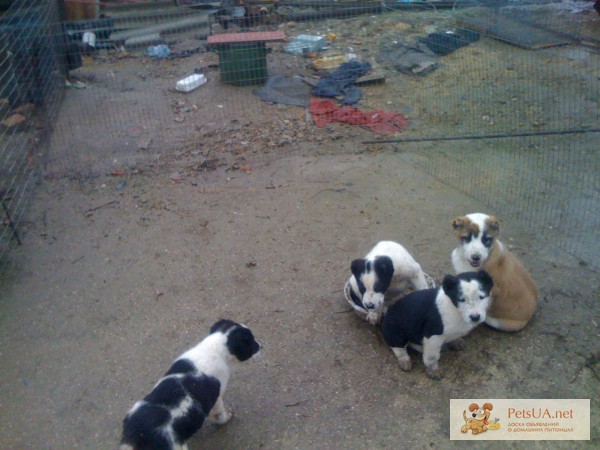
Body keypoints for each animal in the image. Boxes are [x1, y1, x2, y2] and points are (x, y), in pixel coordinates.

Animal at [120, 320, 262, 450]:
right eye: (251, 341)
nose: (261, 346)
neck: (212, 349)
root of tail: (139, 436)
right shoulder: (217, 398)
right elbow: (220, 414)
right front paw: (226, 418)